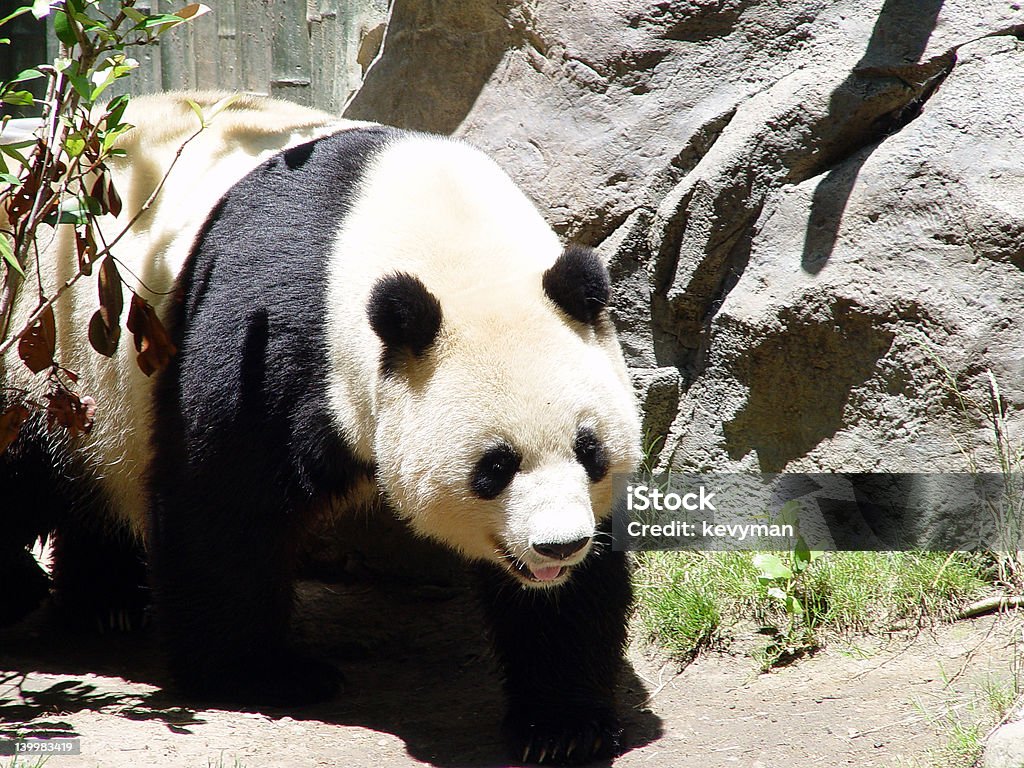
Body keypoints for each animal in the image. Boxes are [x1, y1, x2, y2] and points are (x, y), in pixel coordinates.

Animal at [0, 93, 638, 765]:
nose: (558, 546)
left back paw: (109, 601)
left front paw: (562, 725)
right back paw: (30, 590)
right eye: (496, 466)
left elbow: (577, 587)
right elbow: (223, 502)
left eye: (590, 452)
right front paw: (263, 674)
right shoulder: (271, 335)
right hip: (42, 348)